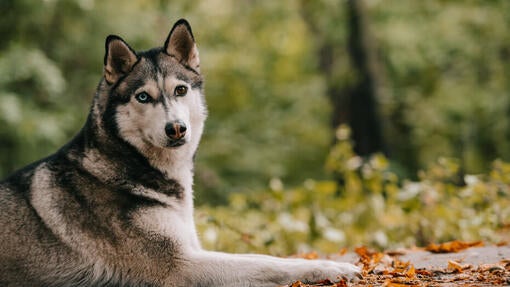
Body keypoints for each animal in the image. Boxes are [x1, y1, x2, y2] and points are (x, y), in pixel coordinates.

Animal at [0, 19, 358, 286]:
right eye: (143, 97)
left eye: (180, 90)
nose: (176, 128)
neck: (131, 165)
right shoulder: (180, 266)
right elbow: (270, 264)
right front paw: (333, 268)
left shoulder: (192, 248)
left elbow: (265, 257)